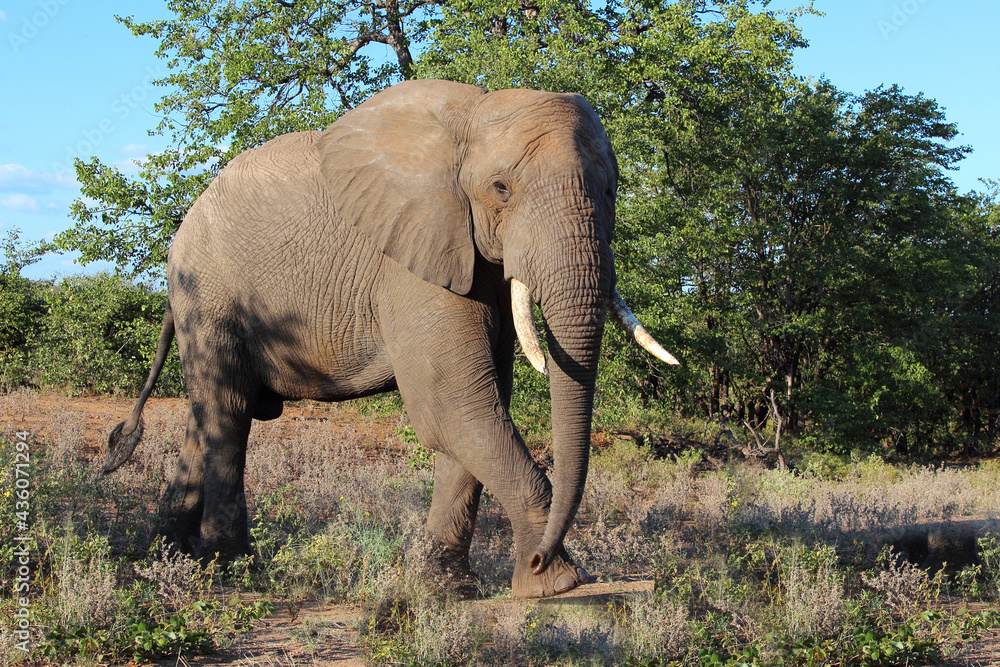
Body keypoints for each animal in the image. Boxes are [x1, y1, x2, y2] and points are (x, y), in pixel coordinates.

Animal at [103, 79, 680, 600]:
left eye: (612, 191)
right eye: (501, 189)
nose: (541, 558)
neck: (470, 118)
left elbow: (478, 409)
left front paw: (446, 590)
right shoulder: (412, 259)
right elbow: (455, 405)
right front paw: (554, 585)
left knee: (207, 415)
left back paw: (165, 555)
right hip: (209, 293)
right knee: (228, 410)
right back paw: (228, 566)